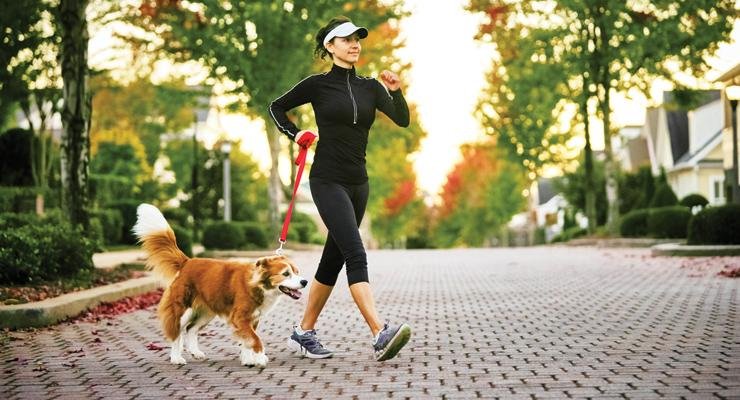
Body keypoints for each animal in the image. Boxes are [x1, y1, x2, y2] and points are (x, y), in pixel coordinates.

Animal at [133, 205, 306, 368]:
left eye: (297, 272)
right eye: (286, 273)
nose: (304, 282)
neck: (259, 285)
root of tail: (187, 262)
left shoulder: (252, 319)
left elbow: (247, 341)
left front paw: (248, 360)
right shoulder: (240, 317)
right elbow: (255, 339)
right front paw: (260, 357)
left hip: (206, 311)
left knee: (191, 329)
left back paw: (195, 352)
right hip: (182, 309)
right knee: (177, 332)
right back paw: (176, 358)